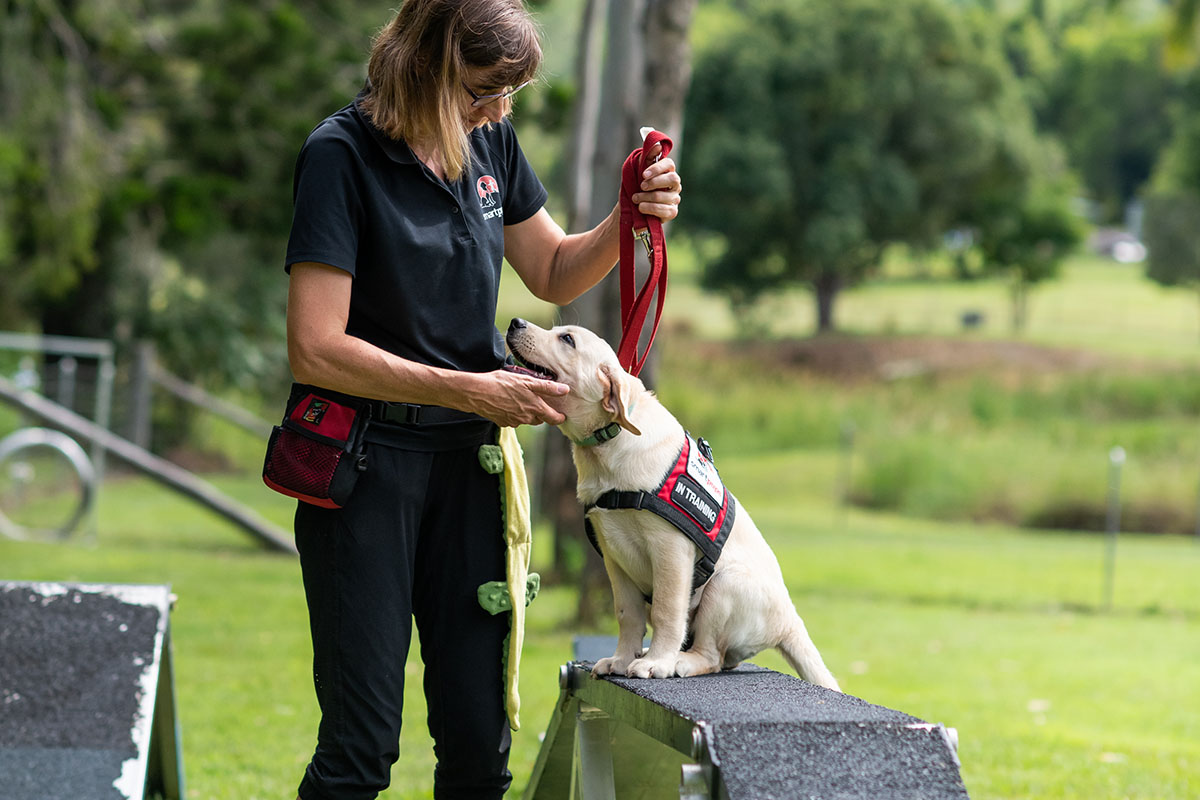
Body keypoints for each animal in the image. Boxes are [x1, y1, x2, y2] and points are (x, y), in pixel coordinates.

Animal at [501, 316, 840, 690]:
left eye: (567, 340)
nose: (515, 322)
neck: (609, 444)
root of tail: (789, 622)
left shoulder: (670, 548)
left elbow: (666, 610)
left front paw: (656, 663)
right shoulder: (613, 556)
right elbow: (627, 614)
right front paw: (622, 659)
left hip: (724, 586)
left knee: (712, 656)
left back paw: (679, 660)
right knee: (724, 659)